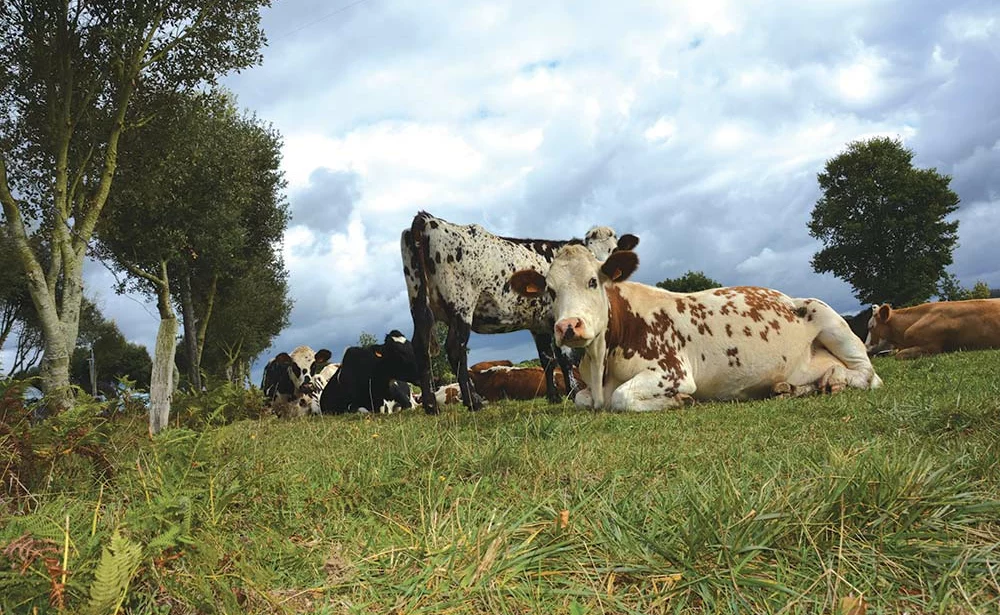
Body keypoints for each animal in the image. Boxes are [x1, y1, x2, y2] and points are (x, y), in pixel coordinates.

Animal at [400, 211, 640, 414]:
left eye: (614, 251)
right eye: (590, 254)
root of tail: (428, 219)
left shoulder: (538, 324)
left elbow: (547, 359)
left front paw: (554, 397)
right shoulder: (557, 319)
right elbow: (564, 358)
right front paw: (572, 394)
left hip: (419, 303)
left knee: (420, 345)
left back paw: (431, 406)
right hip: (461, 305)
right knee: (455, 349)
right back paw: (473, 402)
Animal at [512, 243, 880, 412]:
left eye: (592, 281)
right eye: (550, 291)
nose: (568, 326)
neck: (603, 359)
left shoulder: (672, 371)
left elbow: (621, 397)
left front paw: (679, 401)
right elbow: (580, 398)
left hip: (828, 317)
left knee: (868, 375)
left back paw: (835, 380)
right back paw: (791, 388)